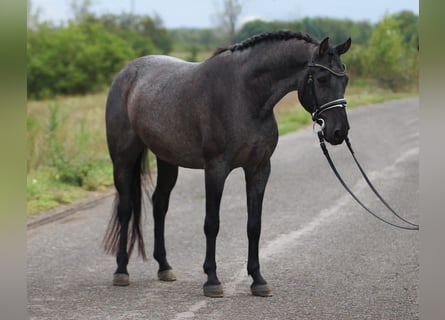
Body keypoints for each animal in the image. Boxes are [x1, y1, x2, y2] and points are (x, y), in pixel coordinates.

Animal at [103, 30, 350, 298]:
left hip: (167, 160)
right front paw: (212, 280)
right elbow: (212, 224)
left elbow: (254, 225)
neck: (244, 95)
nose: (339, 132)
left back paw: (164, 267)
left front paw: (258, 280)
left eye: (345, 80)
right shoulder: (215, 169)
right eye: (322, 79)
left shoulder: (259, 169)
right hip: (123, 159)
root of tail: (126, 74)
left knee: (159, 205)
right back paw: (121, 271)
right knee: (126, 208)